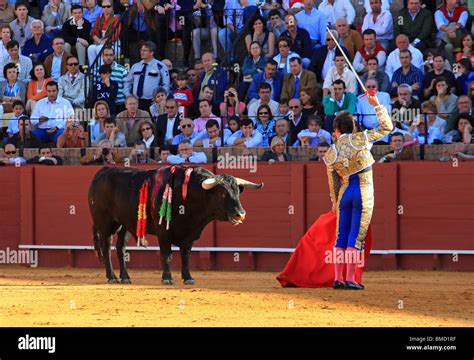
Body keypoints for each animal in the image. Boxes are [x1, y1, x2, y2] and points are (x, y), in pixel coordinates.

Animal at [89, 165, 264, 284]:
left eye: (237, 193)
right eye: (222, 193)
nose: (240, 214)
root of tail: (102, 171)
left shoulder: (190, 234)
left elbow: (185, 255)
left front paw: (188, 278)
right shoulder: (163, 233)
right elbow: (166, 255)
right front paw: (167, 278)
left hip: (124, 225)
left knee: (120, 248)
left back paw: (125, 277)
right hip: (104, 223)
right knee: (106, 247)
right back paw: (111, 277)